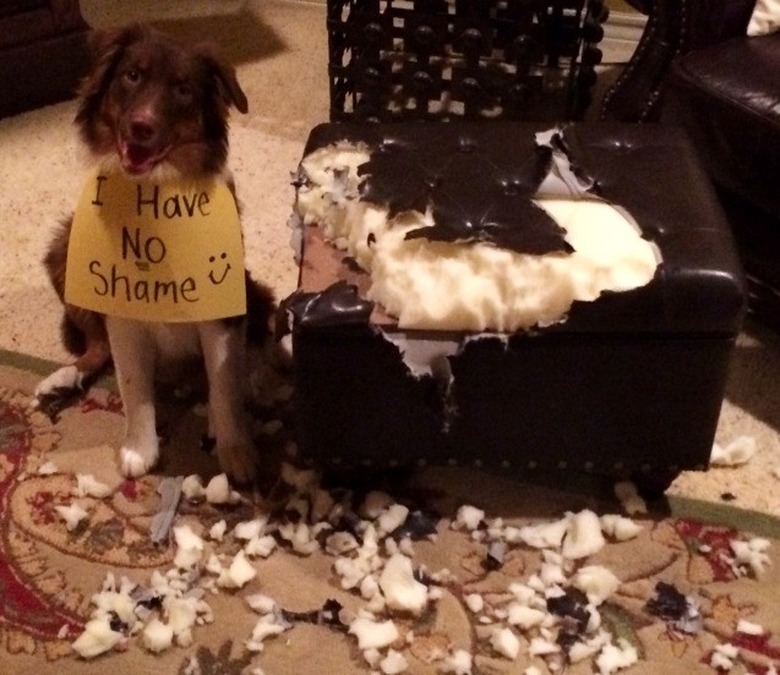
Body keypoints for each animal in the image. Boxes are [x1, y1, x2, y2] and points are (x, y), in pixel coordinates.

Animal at [36, 23, 276, 484]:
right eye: (132, 75)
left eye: (184, 90)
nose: (141, 127)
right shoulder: (120, 306)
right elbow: (132, 385)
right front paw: (139, 449)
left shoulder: (220, 305)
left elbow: (224, 382)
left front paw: (236, 450)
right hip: (63, 251)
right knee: (97, 348)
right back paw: (63, 377)